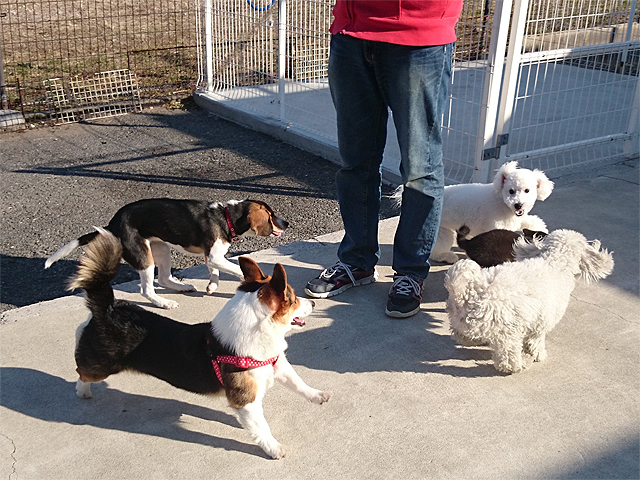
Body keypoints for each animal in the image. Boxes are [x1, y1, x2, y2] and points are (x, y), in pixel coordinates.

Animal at [47, 198, 290, 308]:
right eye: (271, 215)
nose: (287, 223)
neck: (226, 217)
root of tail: (112, 225)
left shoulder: (212, 256)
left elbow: (215, 271)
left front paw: (212, 286)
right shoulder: (214, 256)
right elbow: (233, 268)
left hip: (161, 248)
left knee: (163, 278)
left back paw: (182, 287)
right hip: (144, 256)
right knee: (147, 289)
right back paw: (164, 303)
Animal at [70, 231, 332, 460]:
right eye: (294, 300)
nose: (312, 304)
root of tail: (106, 309)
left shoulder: (277, 366)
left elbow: (298, 383)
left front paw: (318, 395)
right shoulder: (246, 400)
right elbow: (262, 427)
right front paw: (274, 448)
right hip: (100, 366)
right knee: (82, 372)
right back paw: (82, 391)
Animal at [444, 230, 616, 376]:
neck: (555, 262)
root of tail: (464, 292)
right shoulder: (542, 322)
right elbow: (536, 341)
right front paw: (538, 354)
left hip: (464, 322)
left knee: (462, 337)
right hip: (508, 332)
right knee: (508, 361)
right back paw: (522, 364)